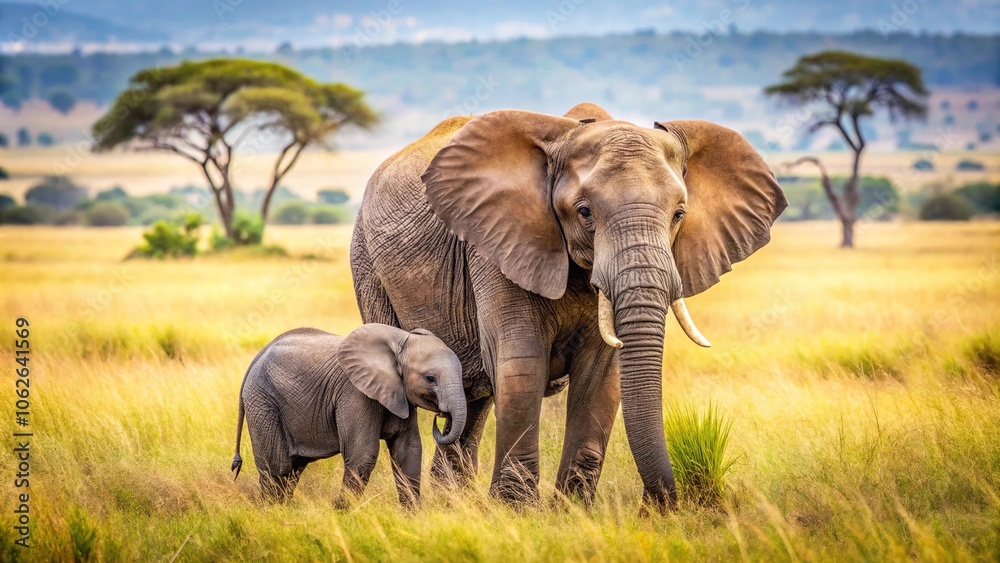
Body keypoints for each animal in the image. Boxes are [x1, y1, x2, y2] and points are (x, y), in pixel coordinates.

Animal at [230, 324, 466, 506]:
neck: (399, 341)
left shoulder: (399, 394)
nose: (442, 416)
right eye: (430, 379)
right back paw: (272, 514)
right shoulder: (354, 393)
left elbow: (408, 450)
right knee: (277, 467)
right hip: (262, 401)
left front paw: (412, 518)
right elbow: (363, 454)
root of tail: (258, 356)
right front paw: (342, 514)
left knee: (293, 468)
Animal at [350, 103, 786, 509]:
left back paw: (452, 505)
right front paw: (517, 512)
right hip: (367, 265)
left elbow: (601, 375)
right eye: (584, 212)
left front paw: (572, 511)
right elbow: (522, 364)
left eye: (679, 214)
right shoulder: (494, 246)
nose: (654, 506)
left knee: (470, 402)